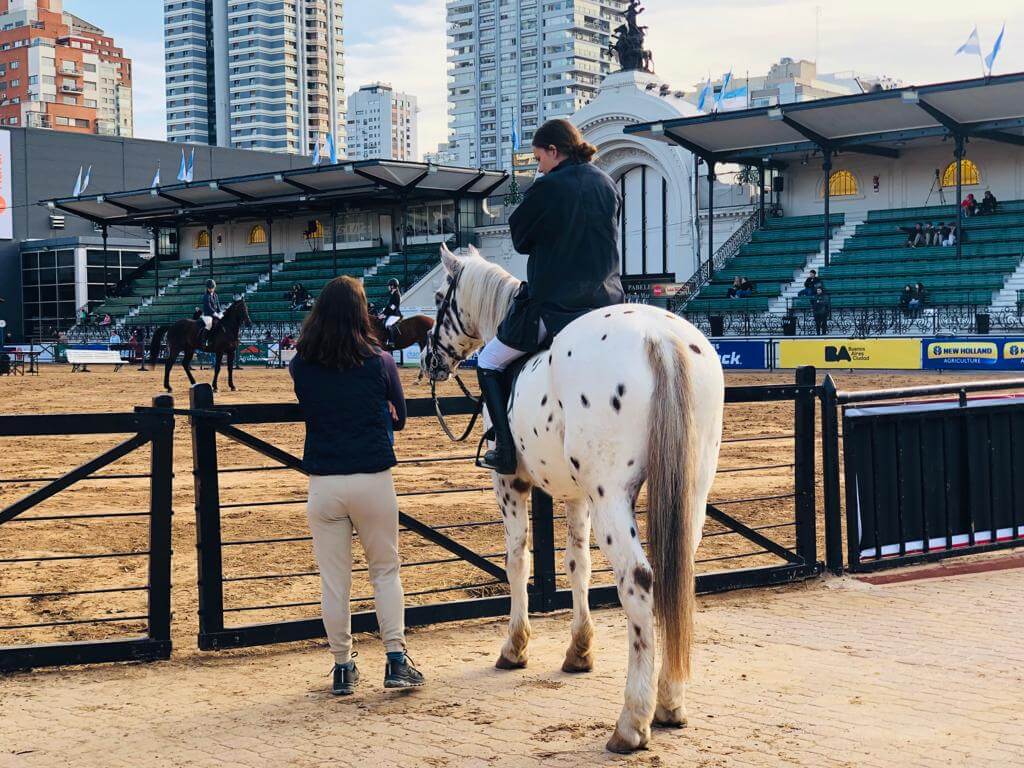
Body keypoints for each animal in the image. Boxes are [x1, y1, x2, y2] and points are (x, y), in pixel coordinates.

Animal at [423, 244, 729, 753]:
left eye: (439, 297)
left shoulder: (510, 485)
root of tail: (660, 337)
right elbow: (577, 565)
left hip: (613, 498)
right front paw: (579, 650)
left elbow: (517, 561)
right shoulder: (577, 496)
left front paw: (515, 647)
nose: (428, 358)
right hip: (689, 492)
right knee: (675, 575)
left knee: (639, 581)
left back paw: (632, 721)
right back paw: (669, 702)